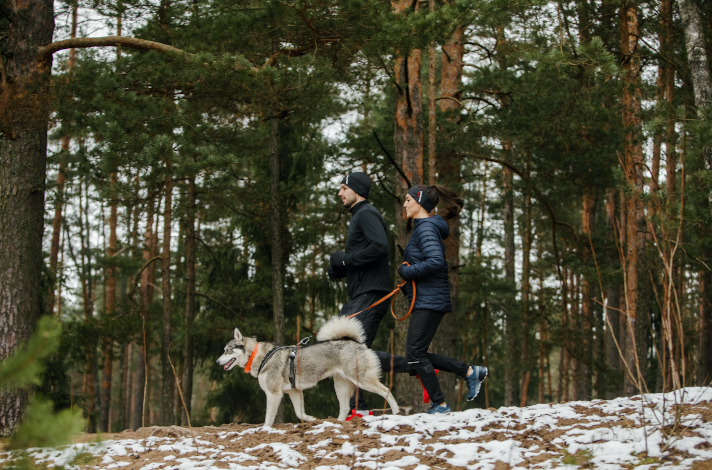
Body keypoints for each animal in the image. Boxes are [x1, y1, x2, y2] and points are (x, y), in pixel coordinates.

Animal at [214, 316, 398, 426]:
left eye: (227, 351)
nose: (217, 361)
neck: (260, 356)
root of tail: (355, 342)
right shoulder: (294, 392)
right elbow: (299, 412)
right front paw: (310, 419)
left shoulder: (273, 394)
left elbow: (268, 418)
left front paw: (265, 429)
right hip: (340, 386)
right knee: (345, 407)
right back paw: (335, 424)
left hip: (363, 380)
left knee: (386, 391)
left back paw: (396, 412)